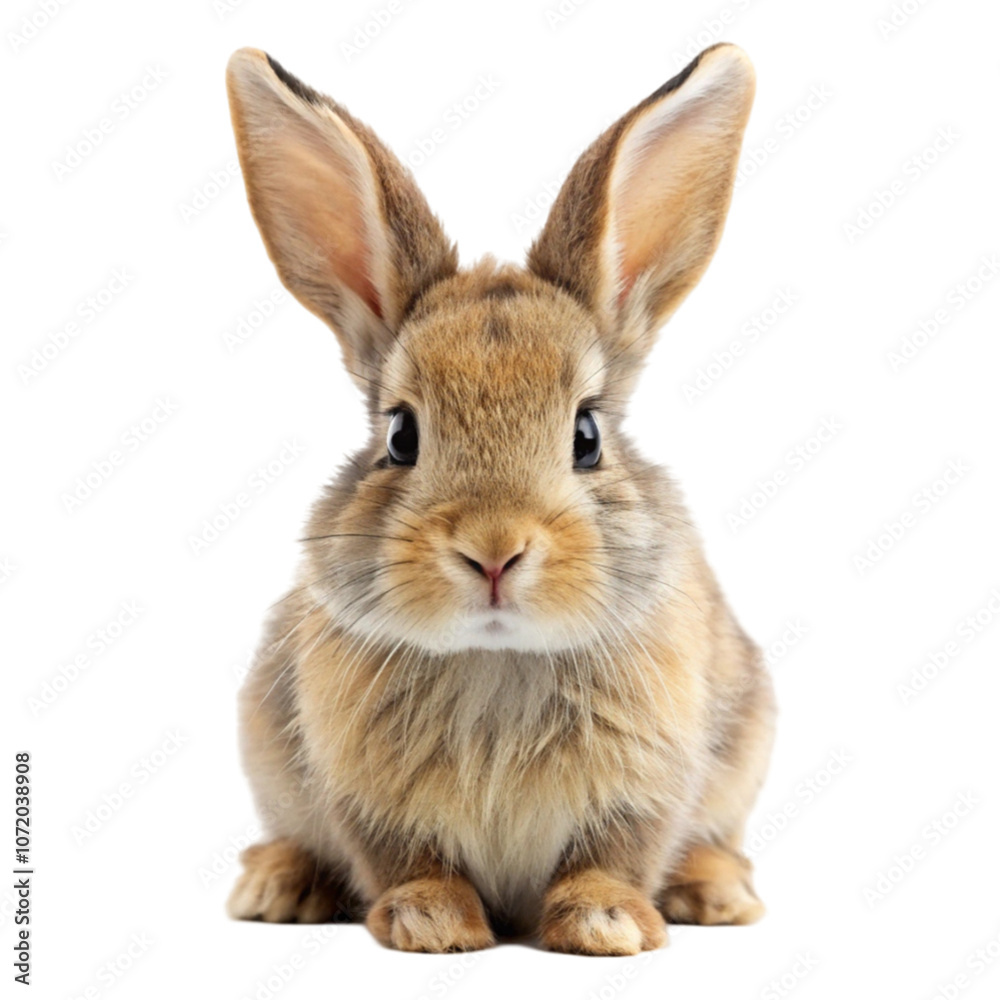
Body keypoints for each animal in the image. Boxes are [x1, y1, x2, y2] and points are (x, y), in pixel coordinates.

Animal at [223, 41, 775, 955]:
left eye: (586, 434)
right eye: (400, 436)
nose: (493, 549)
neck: (497, 659)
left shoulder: (651, 785)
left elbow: (615, 855)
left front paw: (606, 923)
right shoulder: (363, 797)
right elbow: (406, 860)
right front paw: (432, 923)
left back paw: (717, 893)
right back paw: (275, 886)